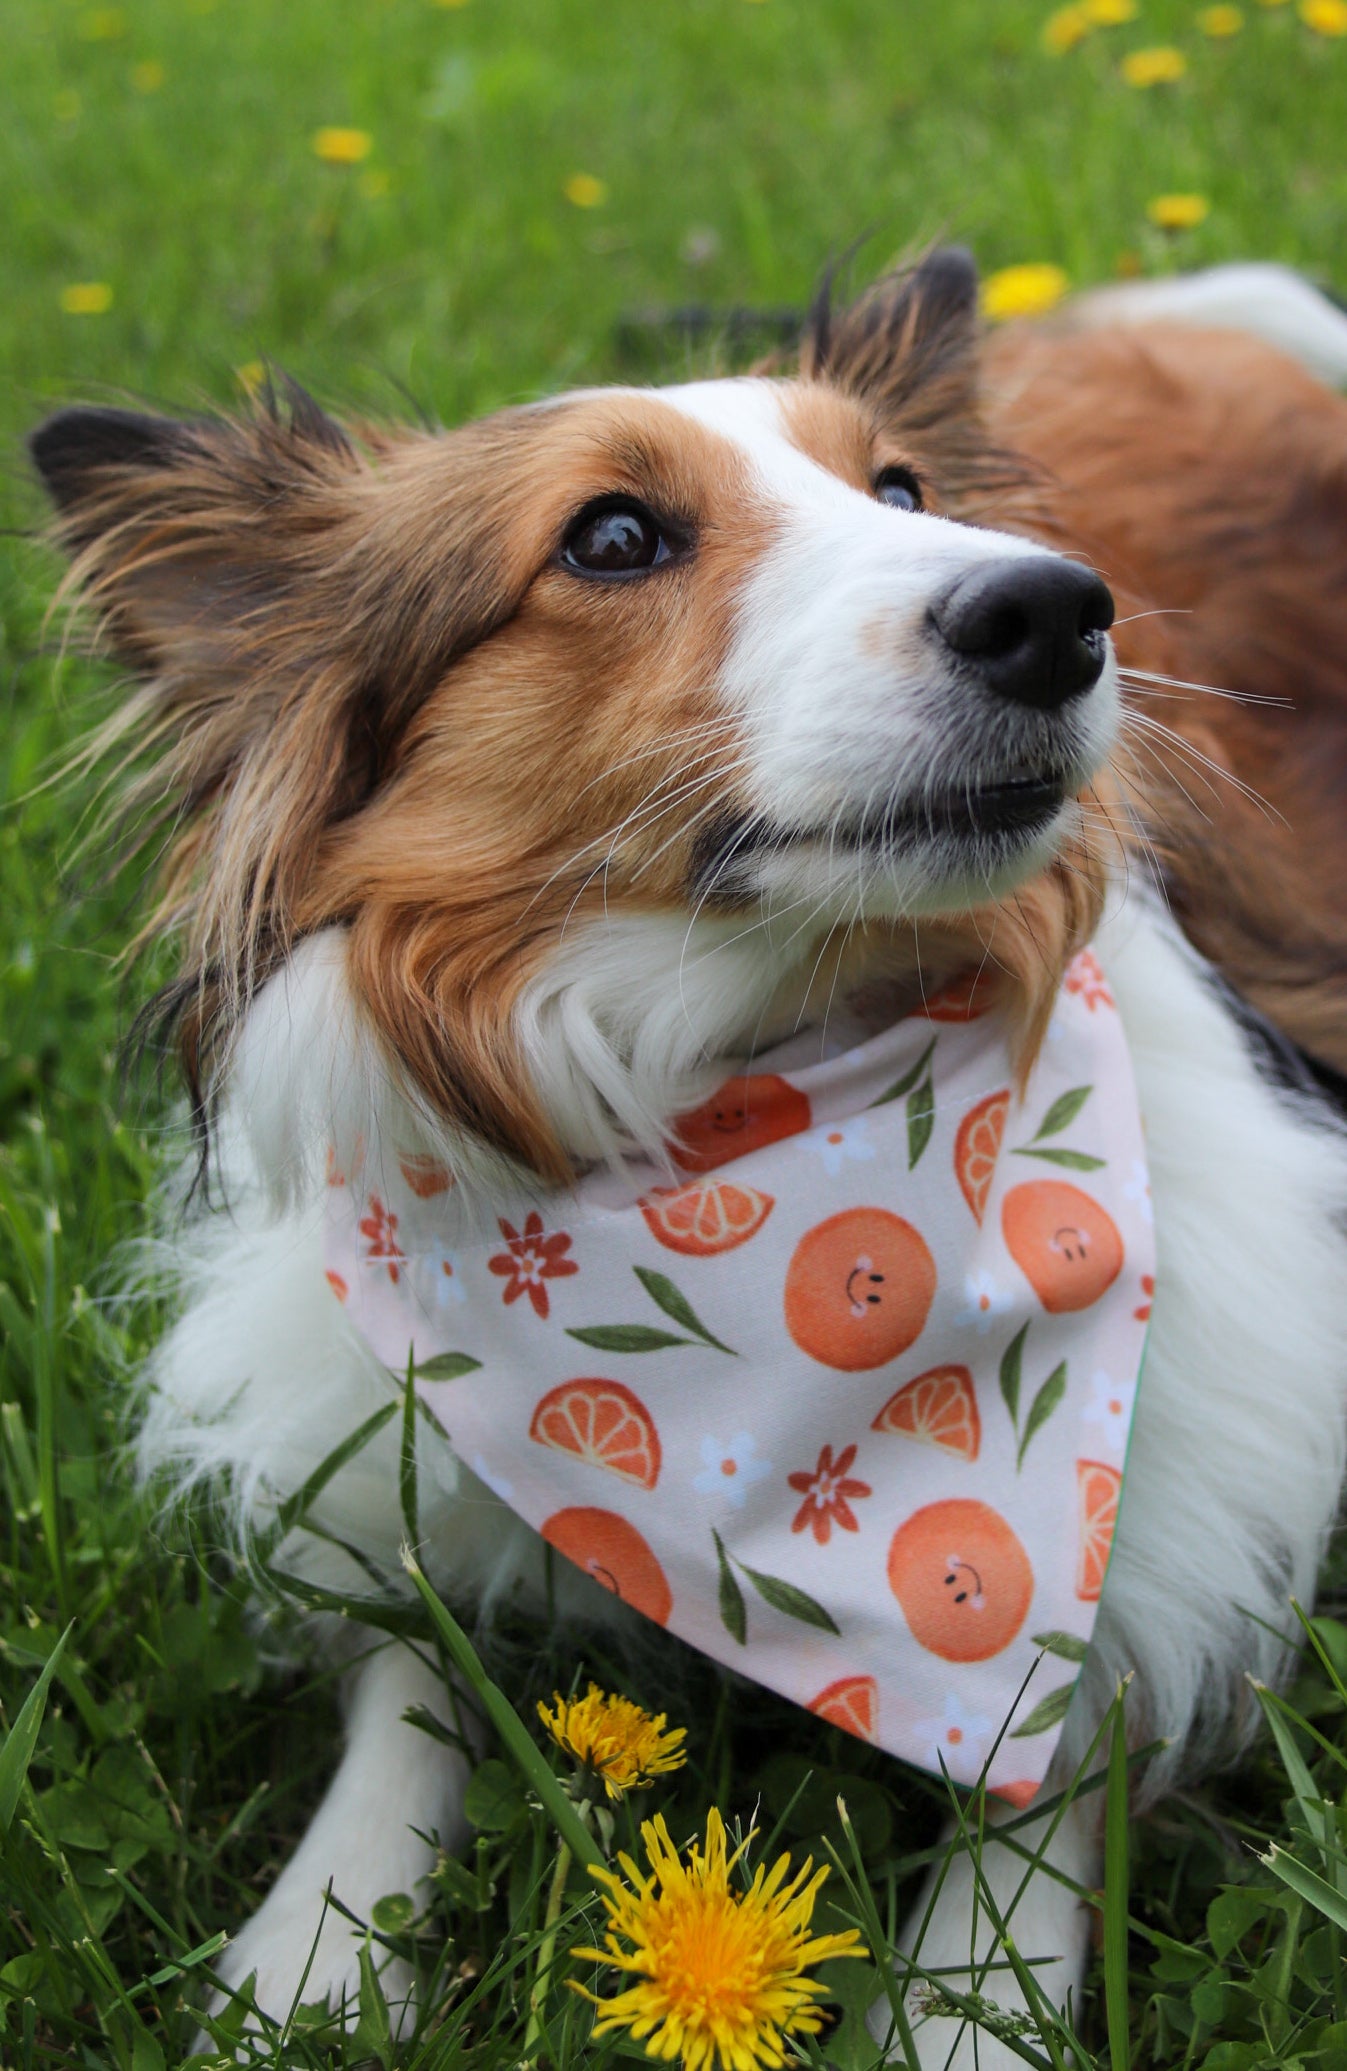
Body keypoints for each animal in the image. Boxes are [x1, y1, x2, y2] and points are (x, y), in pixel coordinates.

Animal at [28, 250, 1342, 2062]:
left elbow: (1045, 1777)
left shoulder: (1181, 1482)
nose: (1057, 613)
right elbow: (410, 1670)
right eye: (610, 537)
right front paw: (311, 1954)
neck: (734, 1106)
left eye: (898, 491)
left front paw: (959, 2012)